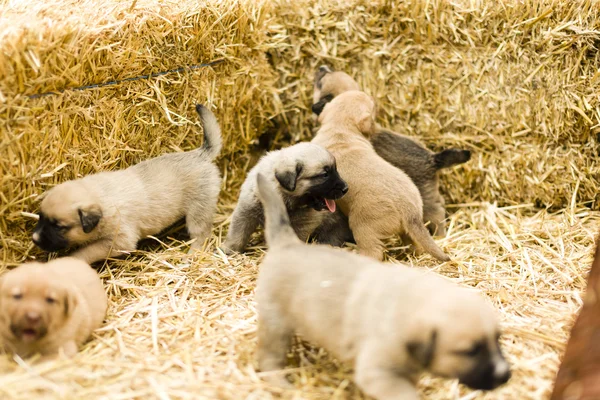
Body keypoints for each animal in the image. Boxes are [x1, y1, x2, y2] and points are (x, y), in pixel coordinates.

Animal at [31, 104, 223, 264]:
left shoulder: (119, 241)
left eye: (59, 227)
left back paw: (192, 255)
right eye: (40, 217)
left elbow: (87, 251)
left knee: (201, 235)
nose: (34, 238)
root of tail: (201, 154)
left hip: (199, 210)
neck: (100, 196)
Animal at [221, 141, 350, 253]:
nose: (346, 188)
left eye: (335, 169)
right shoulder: (246, 211)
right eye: (325, 174)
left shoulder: (302, 225)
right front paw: (229, 249)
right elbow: (238, 233)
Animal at [253, 174, 510, 400]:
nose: (505, 375)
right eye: (469, 351)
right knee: (269, 358)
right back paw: (281, 383)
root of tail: (287, 243)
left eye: (497, 339)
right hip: (276, 324)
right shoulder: (378, 373)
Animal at [312, 89, 448, 260]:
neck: (340, 129)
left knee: (373, 252)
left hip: (363, 226)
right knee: (415, 245)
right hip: (408, 230)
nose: (371, 96)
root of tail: (411, 211)